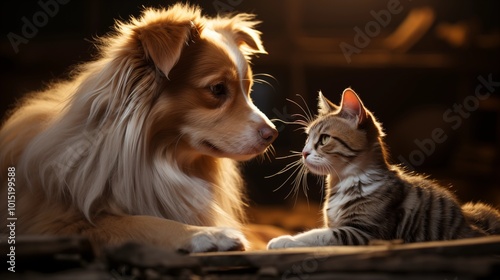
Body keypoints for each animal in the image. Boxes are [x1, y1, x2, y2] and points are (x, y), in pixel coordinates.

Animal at [0, 3, 278, 253]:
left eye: (249, 89)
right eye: (218, 89)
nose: (272, 134)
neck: (160, 159)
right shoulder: (55, 223)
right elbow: (141, 222)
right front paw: (207, 234)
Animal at [268, 88, 500, 248]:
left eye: (324, 139)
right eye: (308, 138)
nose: (304, 152)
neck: (341, 183)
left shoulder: (363, 232)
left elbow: (318, 235)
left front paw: (283, 240)